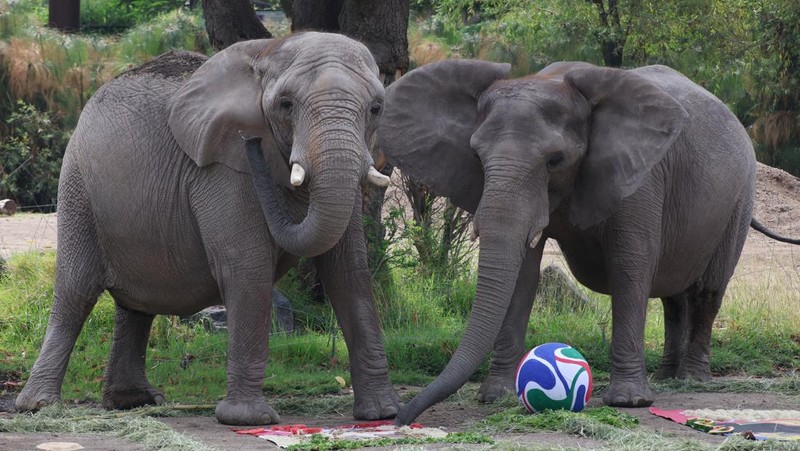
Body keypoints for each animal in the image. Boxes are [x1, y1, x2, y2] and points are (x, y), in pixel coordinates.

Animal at [15, 32, 401, 426]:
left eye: (376, 108)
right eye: (286, 104)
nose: (252, 142)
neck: (269, 51)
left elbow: (349, 272)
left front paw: (382, 414)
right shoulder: (221, 170)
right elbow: (247, 267)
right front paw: (249, 419)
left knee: (136, 304)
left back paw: (133, 401)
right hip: (78, 186)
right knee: (76, 291)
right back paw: (40, 406)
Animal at [378, 59, 800, 424]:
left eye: (555, 160)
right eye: (477, 157)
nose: (400, 419)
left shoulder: (640, 178)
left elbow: (629, 266)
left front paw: (628, 402)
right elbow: (522, 273)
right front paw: (496, 397)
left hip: (739, 198)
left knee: (707, 290)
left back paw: (691, 379)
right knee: (673, 296)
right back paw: (666, 376)